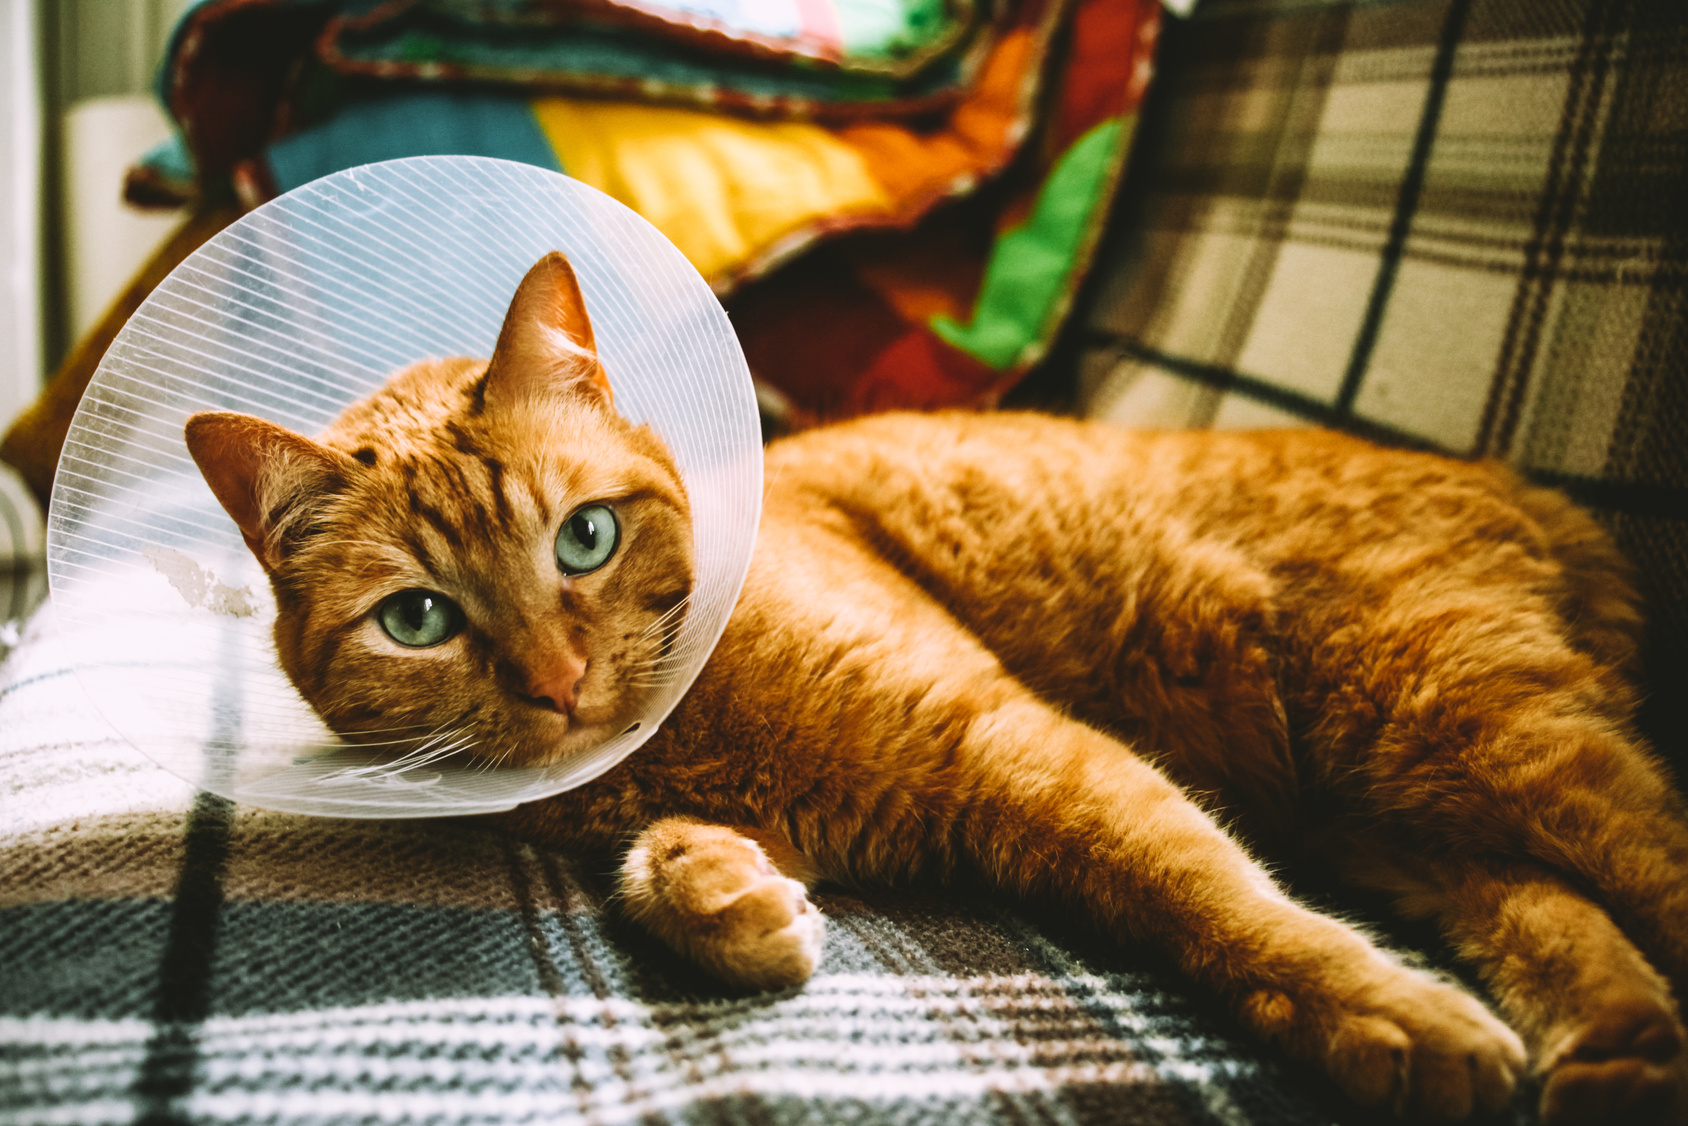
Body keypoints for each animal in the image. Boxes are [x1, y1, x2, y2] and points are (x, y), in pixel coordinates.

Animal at [184, 254, 1688, 1126]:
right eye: (419, 619)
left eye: (585, 537)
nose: (555, 682)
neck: (669, 738)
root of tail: (1529, 486)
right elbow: (656, 868)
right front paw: (726, 897)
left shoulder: (1028, 751)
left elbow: (1216, 902)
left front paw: (1383, 1014)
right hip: (1394, 797)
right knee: (1537, 902)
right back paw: (1621, 1054)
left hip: (1471, 725)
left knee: (1639, 860)